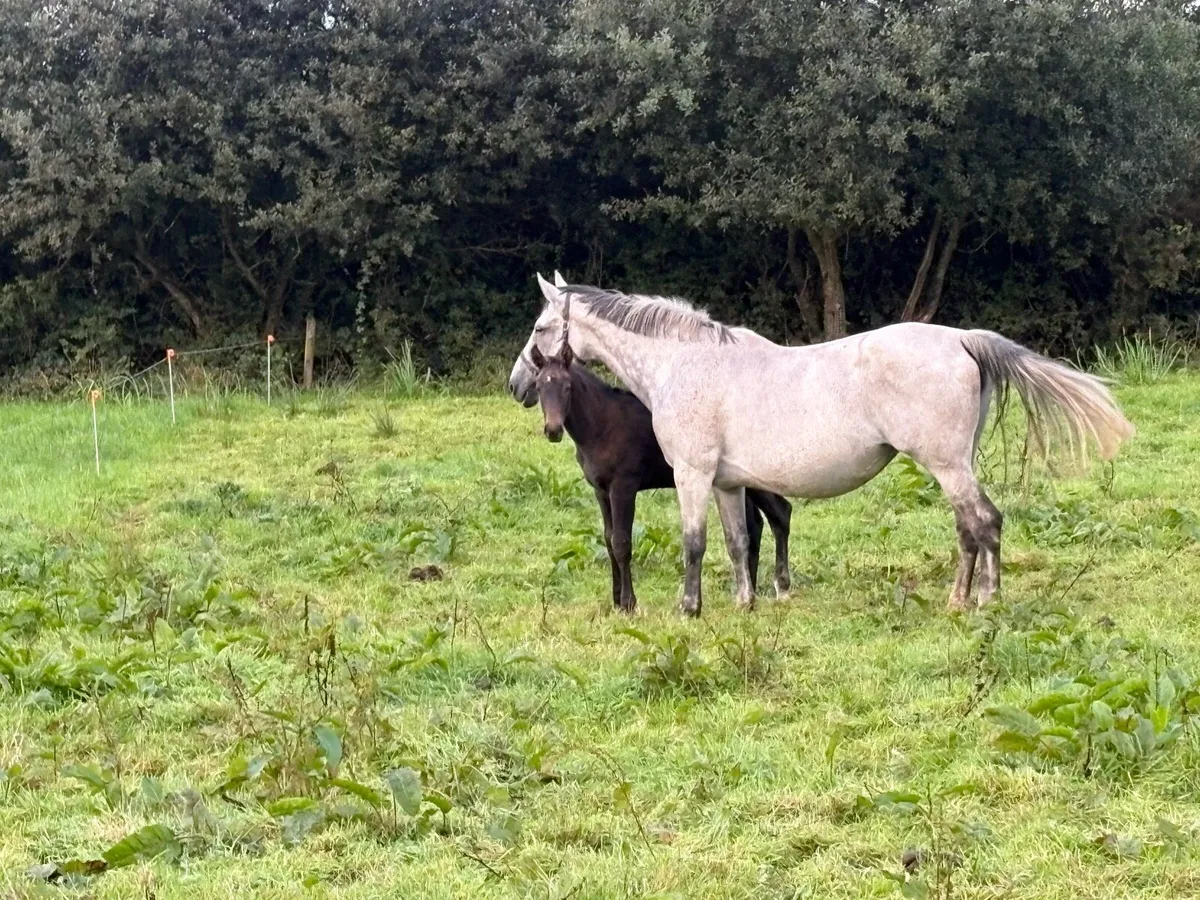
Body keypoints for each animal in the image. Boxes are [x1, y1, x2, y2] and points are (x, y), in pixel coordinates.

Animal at [525, 338, 793, 611]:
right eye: (539, 386)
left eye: (567, 387)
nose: (553, 430)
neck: (602, 425)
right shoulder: (600, 490)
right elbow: (608, 540)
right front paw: (616, 601)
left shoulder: (623, 487)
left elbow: (621, 542)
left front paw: (629, 604)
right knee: (757, 524)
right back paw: (750, 589)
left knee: (780, 513)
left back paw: (778, 587)